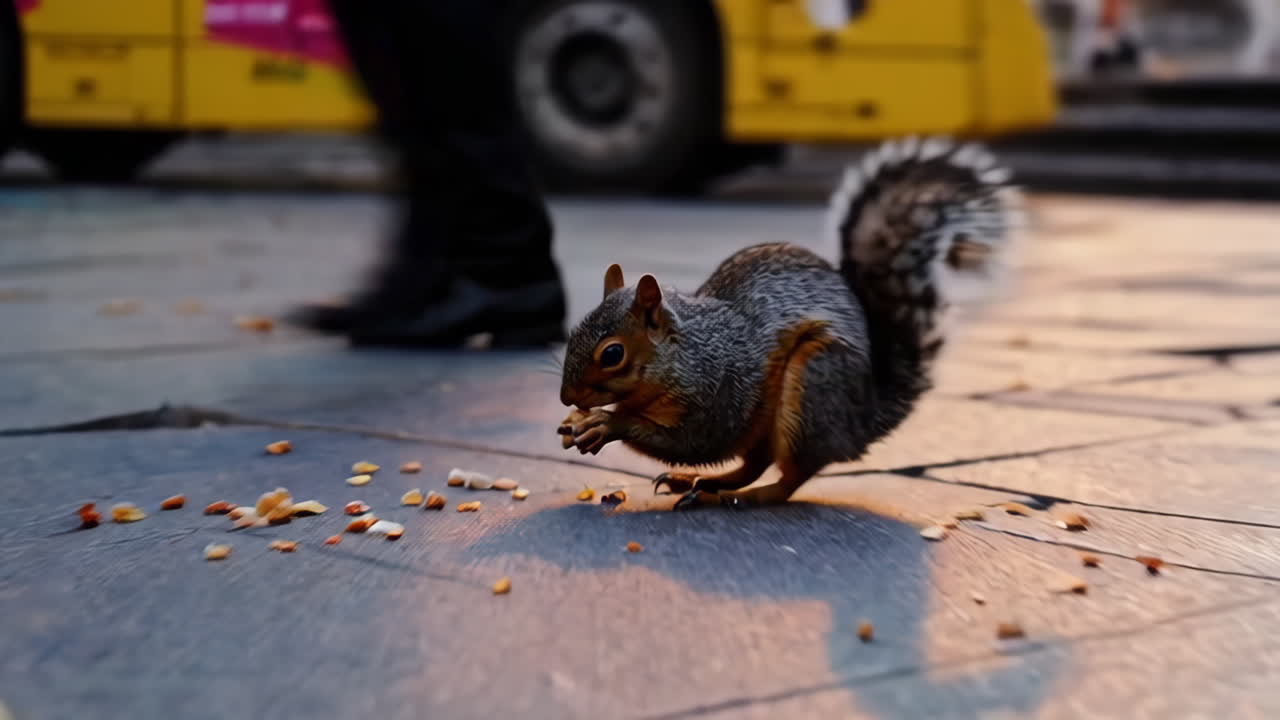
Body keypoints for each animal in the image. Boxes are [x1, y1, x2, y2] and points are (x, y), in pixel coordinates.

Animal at [557, 137, 1022, 509]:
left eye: (613, 354)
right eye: (573, 333)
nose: (566, 398)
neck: (687, 352)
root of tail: (861, 424)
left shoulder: (721, 391)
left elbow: (693, 440)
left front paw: (607, 422)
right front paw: (580, 422)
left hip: (811, 389)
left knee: (791, 477)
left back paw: (740, 496)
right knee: (755, 463)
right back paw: (706, 484)